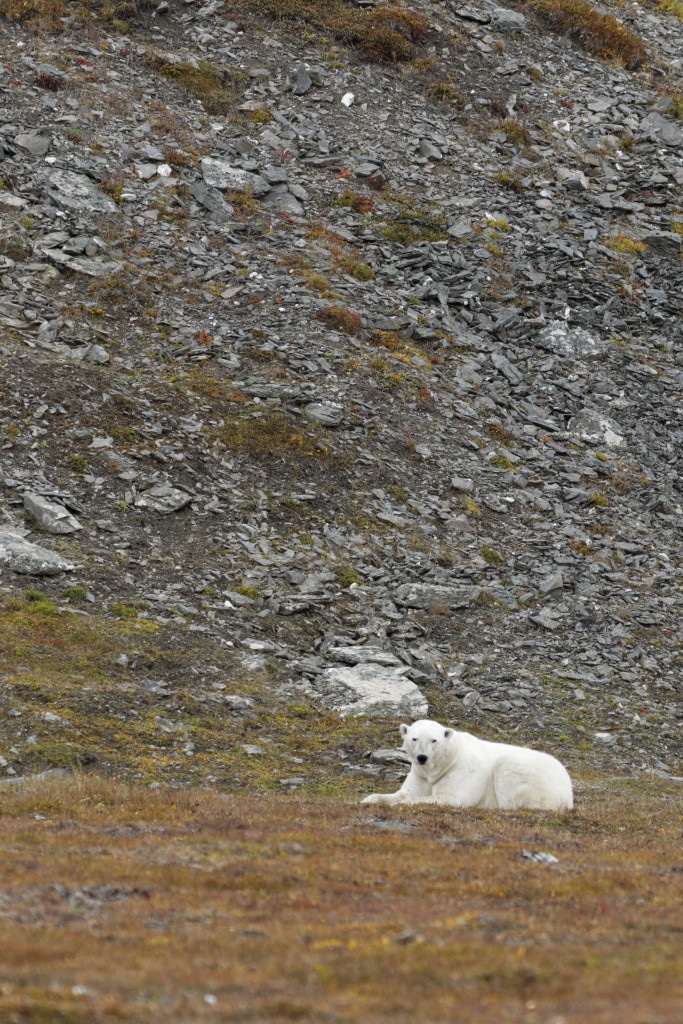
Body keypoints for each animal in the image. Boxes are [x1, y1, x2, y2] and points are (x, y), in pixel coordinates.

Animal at [360, 720, 573, 806]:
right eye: (414, 738)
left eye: (434, 740)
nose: (422, 757)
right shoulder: (419, 775)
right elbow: (405, 792)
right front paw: (369, 799)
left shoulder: (460, 771)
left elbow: (451, 796)